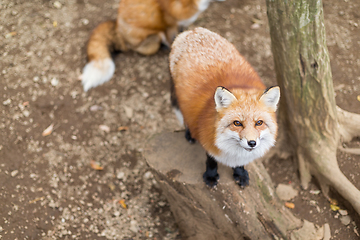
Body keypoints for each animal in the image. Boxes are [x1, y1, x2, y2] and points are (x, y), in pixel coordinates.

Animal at [169, 27, 282, 187]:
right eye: (237, 123)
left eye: (259, 123)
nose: (252, 143)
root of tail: (192, 30)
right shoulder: (207, 138)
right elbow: (211, 160)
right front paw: (211, 176)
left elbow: (240, 163)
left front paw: (240, 173)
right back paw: (189, 133)